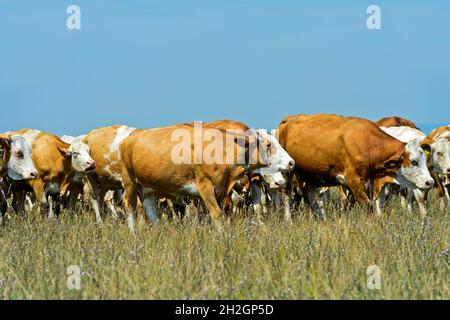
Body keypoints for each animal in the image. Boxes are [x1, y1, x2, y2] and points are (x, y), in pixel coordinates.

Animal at [121, 121, 294, 234]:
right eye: (268, 145)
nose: (291, 162)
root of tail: (133, 135)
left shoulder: (220, 188)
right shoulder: (205, 187)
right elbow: (217, 214)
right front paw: (222, 237)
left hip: (148, 187)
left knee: (149, 207)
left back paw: (158, 230)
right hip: (129, 181)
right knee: (130, 206)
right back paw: (133, 233)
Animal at [280, 114, 434, 221]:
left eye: (425, 160)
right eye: (413, 162)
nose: (430, 182)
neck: (368, 144)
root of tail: (289, 118)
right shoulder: (353, 180)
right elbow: (367, 206)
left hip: (313, 175)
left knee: (309, 196)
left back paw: (321, 219)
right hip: (289, 172)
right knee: (288, 196)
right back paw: (289, 221)